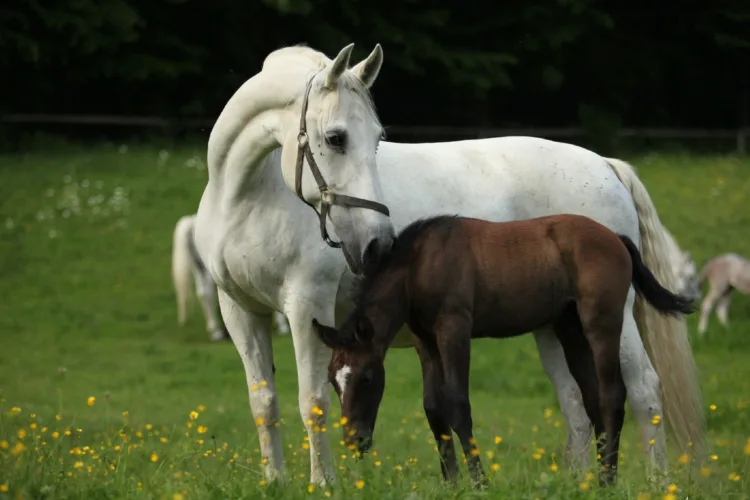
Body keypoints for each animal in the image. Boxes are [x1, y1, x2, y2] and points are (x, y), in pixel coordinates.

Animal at [312, 214, 692, 488]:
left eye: (367, 376)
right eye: (333, 381)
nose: (354, 440)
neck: (419, 263)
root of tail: (616, 237)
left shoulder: (454, 329)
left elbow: (457, 403)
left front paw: (480, 482)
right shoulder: (426, 342)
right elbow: (433, 407)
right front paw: (452, 485)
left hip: (602, 323)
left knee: (614, 394)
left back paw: (607, 480)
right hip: (570, 330)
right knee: (593, 396)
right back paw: (600, 480)